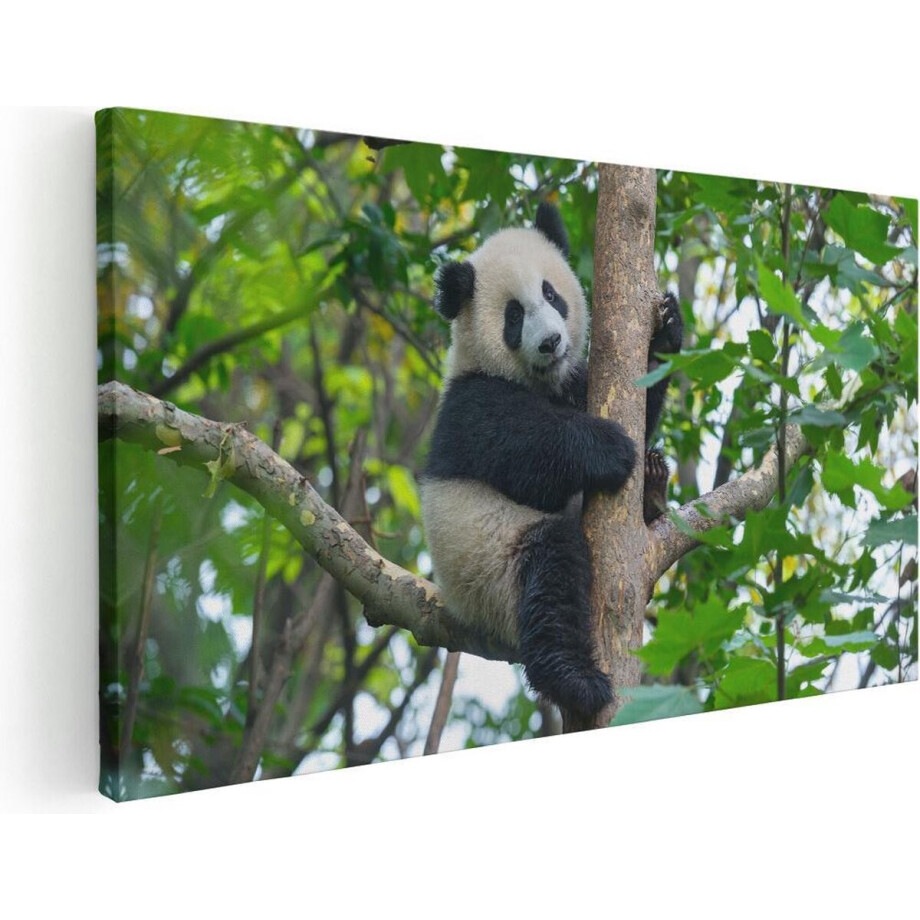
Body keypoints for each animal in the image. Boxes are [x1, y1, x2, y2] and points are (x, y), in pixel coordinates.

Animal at [420, 202, 683, 718]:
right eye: (514, 316)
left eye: (550, 293)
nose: (550, 342)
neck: (537, 380)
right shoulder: (470, 405)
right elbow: (526, 455)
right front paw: (610, 448)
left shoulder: (573, 383)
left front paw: (665, 329)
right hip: (490, 568)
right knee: (551, 570)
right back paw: (575, 680)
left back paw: (653, 488)